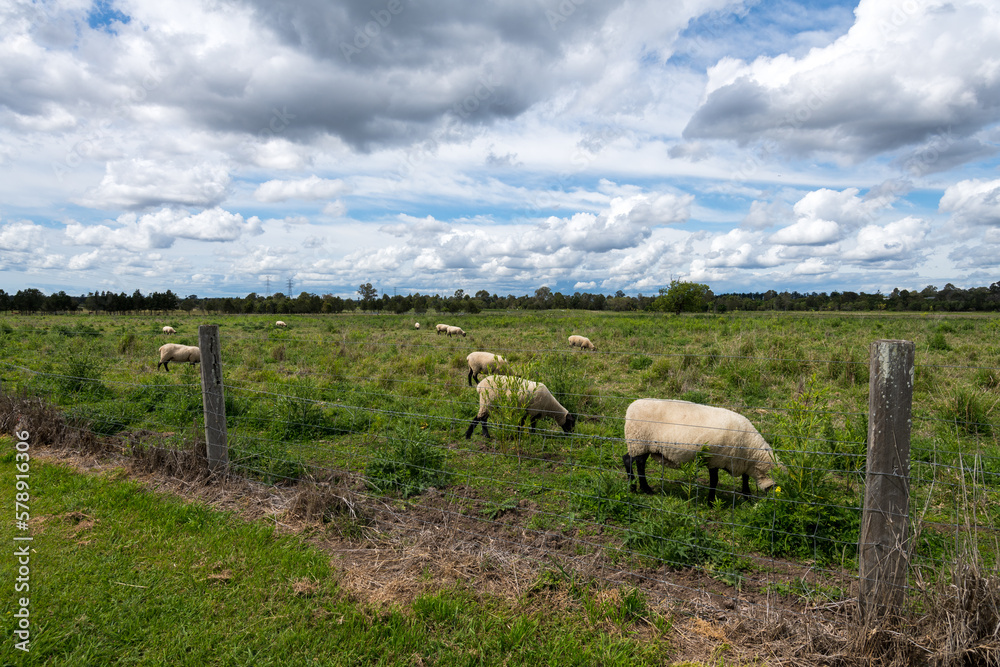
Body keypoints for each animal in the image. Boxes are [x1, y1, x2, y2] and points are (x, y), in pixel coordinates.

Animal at [622, 399, 780, 504]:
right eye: (776, 487)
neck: (750, 449)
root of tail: (631, 406)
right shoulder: (716, 459)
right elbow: (714, 481)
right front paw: (711, 501)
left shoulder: (741, 462)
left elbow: (745, 478)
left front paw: (747, 496)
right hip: (638, 441)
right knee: (633, 462)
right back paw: (639, 488)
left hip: (641, 445)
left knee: (633, 461)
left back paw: (638, 487)